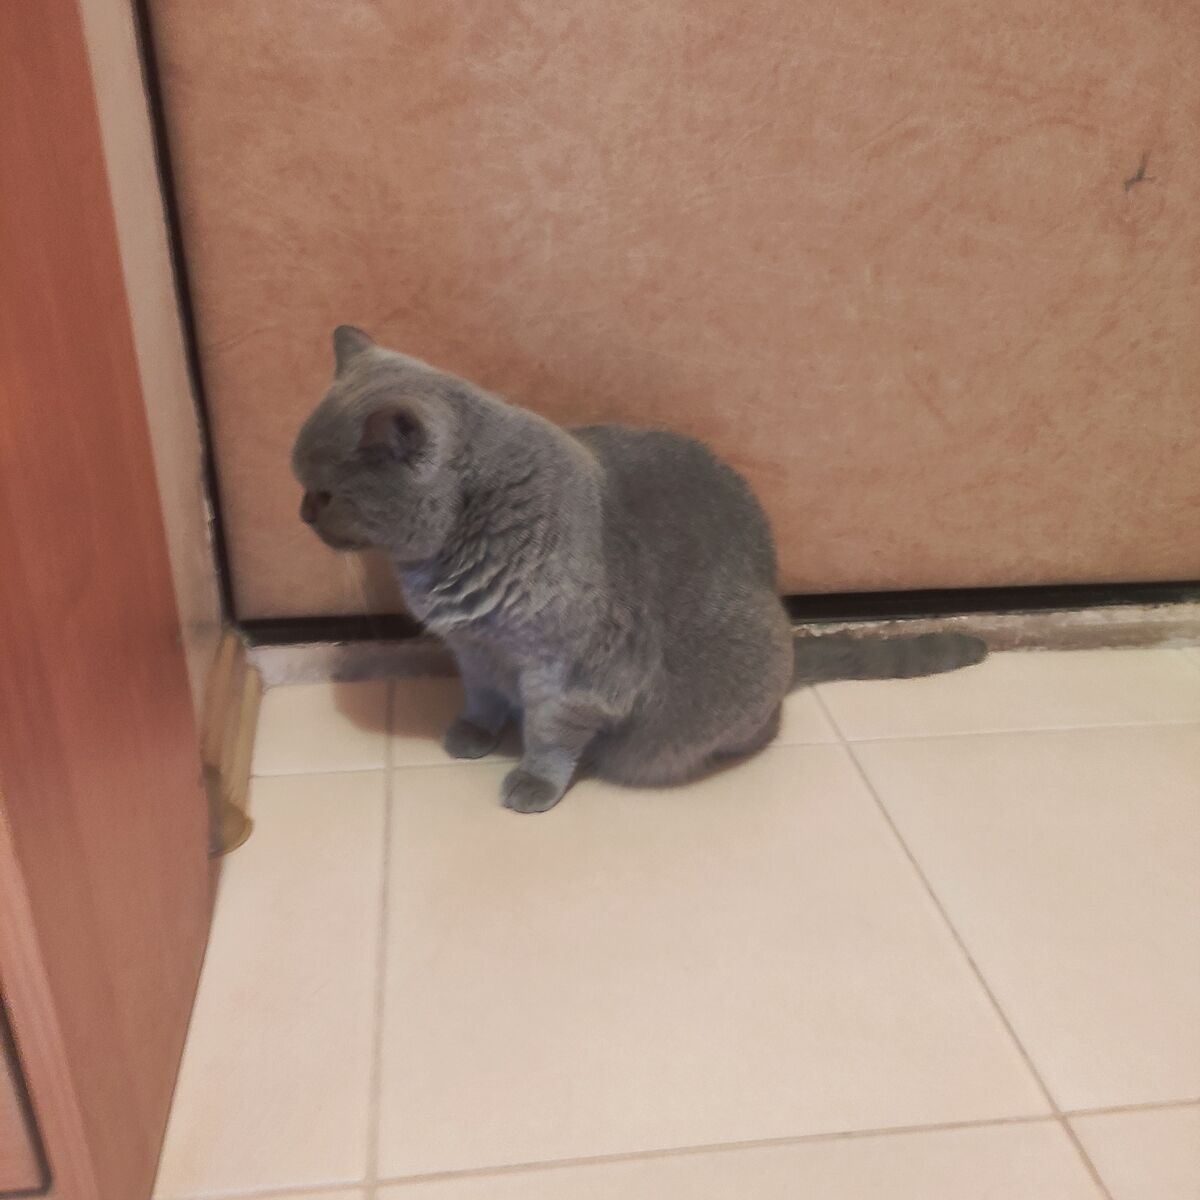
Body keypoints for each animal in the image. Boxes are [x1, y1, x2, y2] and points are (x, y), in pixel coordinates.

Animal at [292, 326, 986, 812]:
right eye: (304, 484)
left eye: (326, 492)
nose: (301, 511)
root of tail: (789, 643)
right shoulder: (473, 650)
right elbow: (484, 697)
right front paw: (471, 734)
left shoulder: (568, 671)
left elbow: (550, 732)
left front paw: (532, 784)